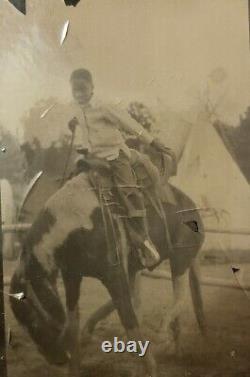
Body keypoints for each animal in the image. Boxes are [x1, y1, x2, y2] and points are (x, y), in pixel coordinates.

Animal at [9, 170, 205, 376]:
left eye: (33, 322)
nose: (55, 359)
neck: (73, 223)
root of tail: (194, 208)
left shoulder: (114, 276)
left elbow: (129, 321)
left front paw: (151, 368)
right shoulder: (72, 276)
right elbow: (73, 323)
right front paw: (74, 366)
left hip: (180, 259)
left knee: (179, 296)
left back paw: (162, 333)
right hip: (144, 267)